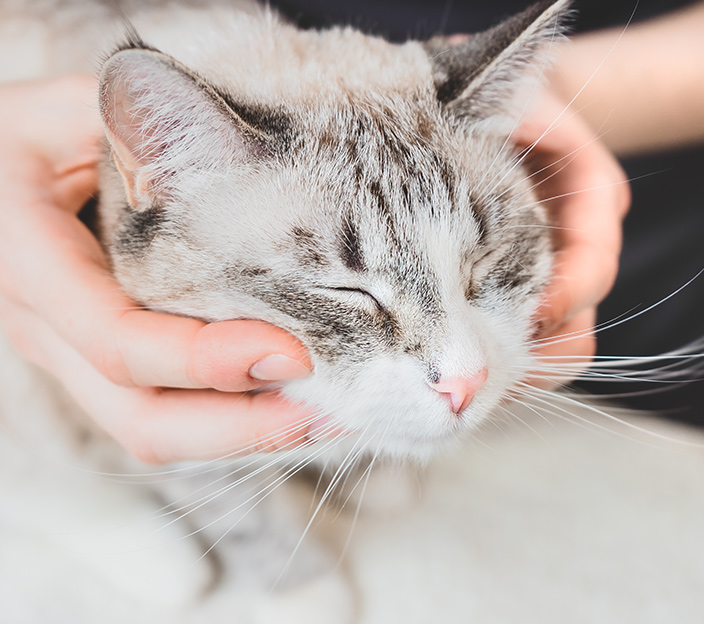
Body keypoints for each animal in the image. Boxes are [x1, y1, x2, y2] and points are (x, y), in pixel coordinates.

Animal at [1, 0, 704, 620]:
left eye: (482, 263)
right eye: (349, 293)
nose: (466, 383)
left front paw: (376, 478)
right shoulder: (159, 409)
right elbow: (242, 510)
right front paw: (305, 593)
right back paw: (156, 562)